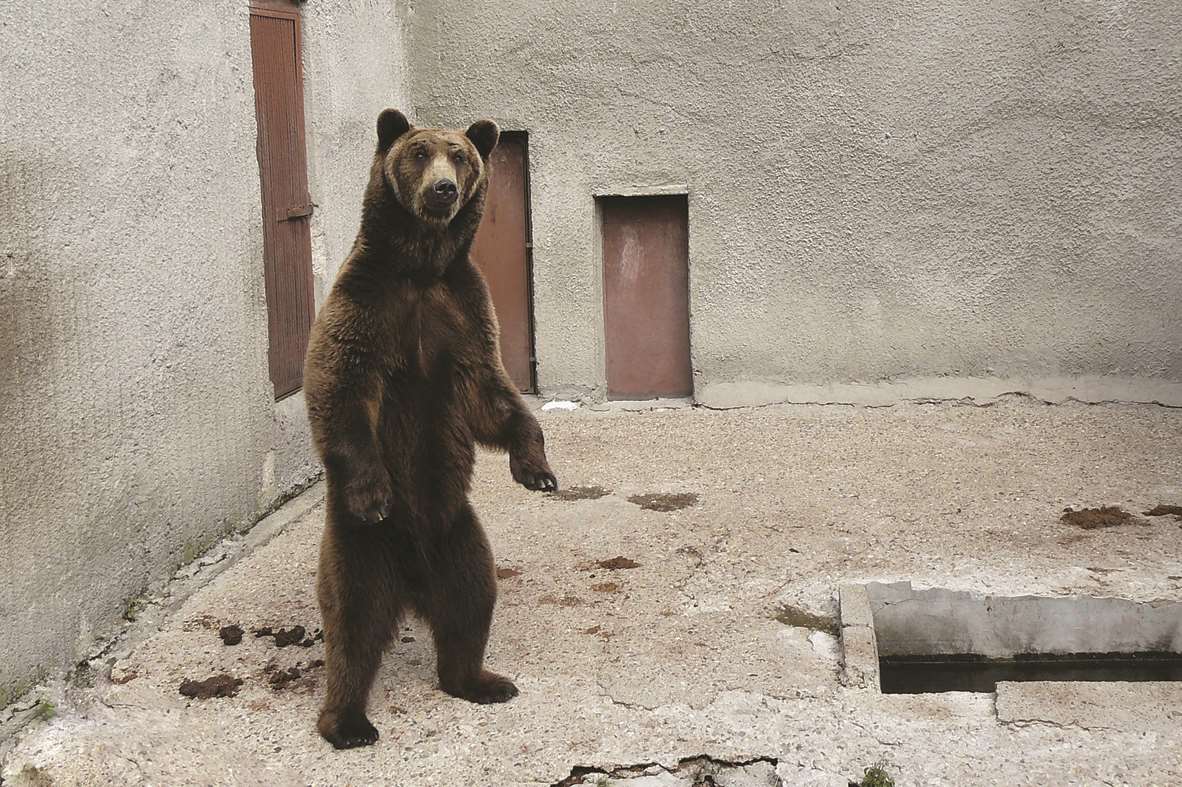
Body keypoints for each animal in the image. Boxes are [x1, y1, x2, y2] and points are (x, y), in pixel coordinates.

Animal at [302, 108, 550, 746]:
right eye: (419, 153)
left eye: (460, 156)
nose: (443, 190)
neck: (419, 266)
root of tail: (413, 584)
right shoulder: (365, 303)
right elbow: (340, 386)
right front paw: (372, 491)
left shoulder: (461, 311)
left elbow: (489, 392)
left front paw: (537, 469)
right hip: (361, 548)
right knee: (354, 623)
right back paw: (347, 722)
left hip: (457, 531)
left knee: (471, 599)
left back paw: (481, 680)